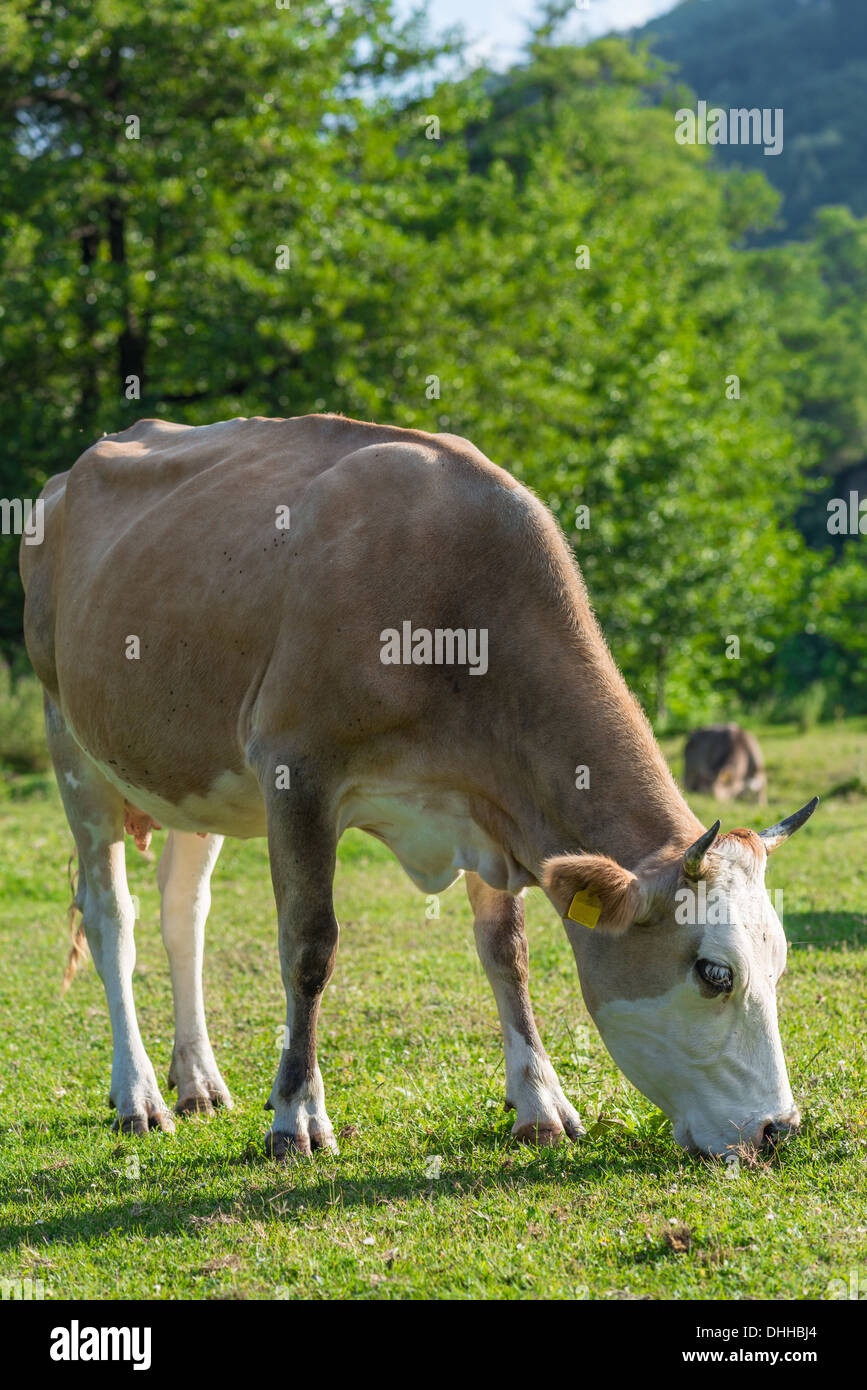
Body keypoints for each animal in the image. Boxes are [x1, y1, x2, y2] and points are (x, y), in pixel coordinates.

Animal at [20, 414, 818, 1158]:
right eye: (713, 973)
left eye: (780, 962)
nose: (777, 1129)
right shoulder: (296, 771)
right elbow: (309, 947)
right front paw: (296, 1116)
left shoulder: (487, 805)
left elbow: (506, 952)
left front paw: (539, 1102)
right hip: (69, 738)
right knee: (111, 919)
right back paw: (140, 1095)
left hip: (191, 777)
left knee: (182, 913)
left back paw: (198, 1082)